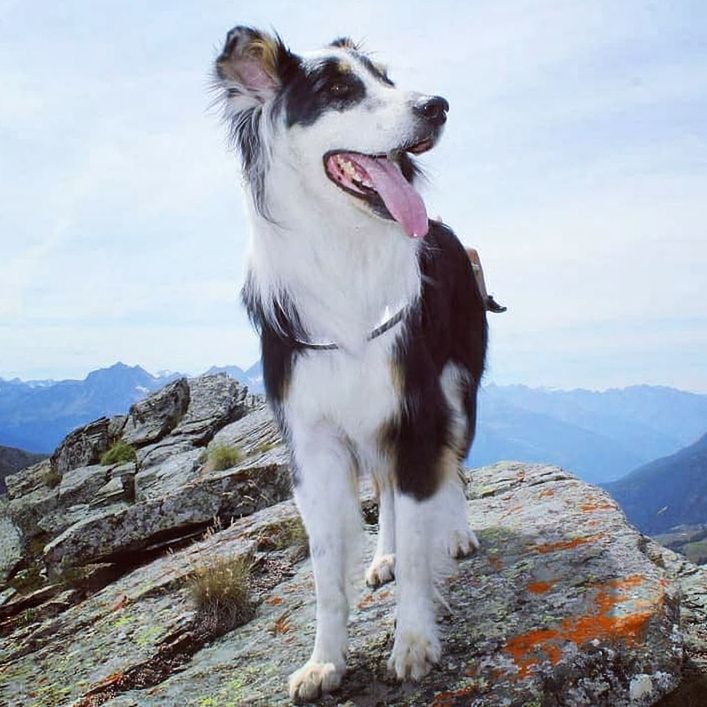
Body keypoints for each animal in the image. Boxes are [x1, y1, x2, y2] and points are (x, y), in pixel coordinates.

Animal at [212, 26, 486, 704]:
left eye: (386, 79)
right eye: (338, 91)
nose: (437, 105)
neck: (342, 246)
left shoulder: (415, 410)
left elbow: (418, 543)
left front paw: (412, 642)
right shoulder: (313, 442)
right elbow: (325, 573)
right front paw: (324, 662)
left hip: (457, 389)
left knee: (451, 466)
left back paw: (456, 531)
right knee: (387, 491)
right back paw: (382, 556)